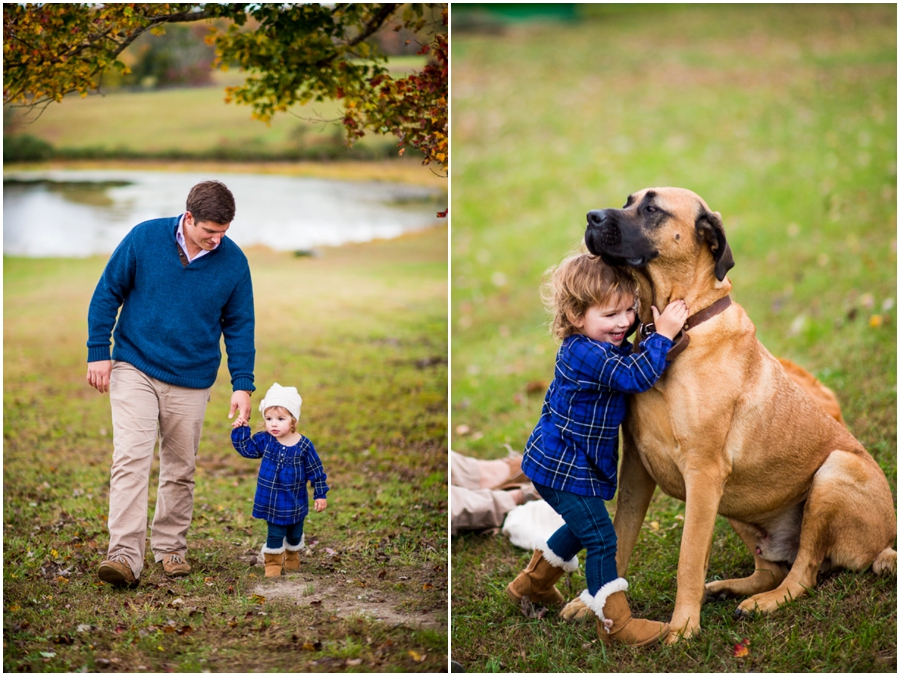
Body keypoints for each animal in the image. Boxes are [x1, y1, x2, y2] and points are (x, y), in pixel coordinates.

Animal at [568, 187, 896, 640]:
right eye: (628, 200)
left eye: (651, 208)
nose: (590, 217)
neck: (681, 328)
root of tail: (887, 541)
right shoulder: (637, 466)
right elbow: (619, 540)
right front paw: (591, 606)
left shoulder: (702, 473)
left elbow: (689, 559)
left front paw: (682, 628)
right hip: (740, 498)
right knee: (772, 568)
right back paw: (727, 589)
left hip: (832, 473)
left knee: (803, 573)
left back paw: (764, 602)